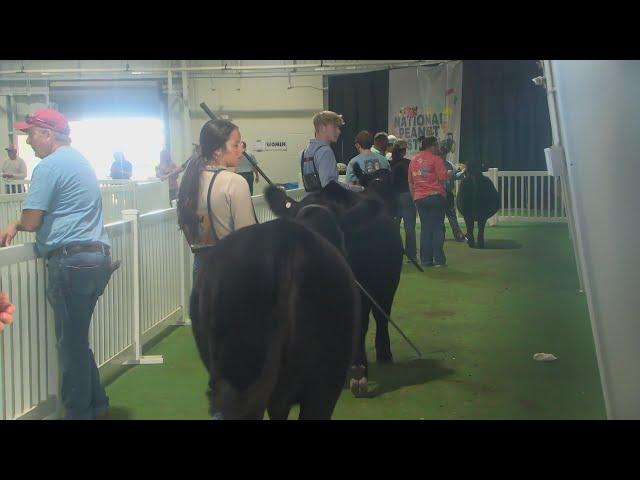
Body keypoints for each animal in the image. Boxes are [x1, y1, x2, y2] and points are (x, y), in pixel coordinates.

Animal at [268, 178, 402, 396]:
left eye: (330, 237)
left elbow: (360, 326)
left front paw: (359, 372)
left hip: (387, 285)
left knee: (381, 317)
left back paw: (383, 353)